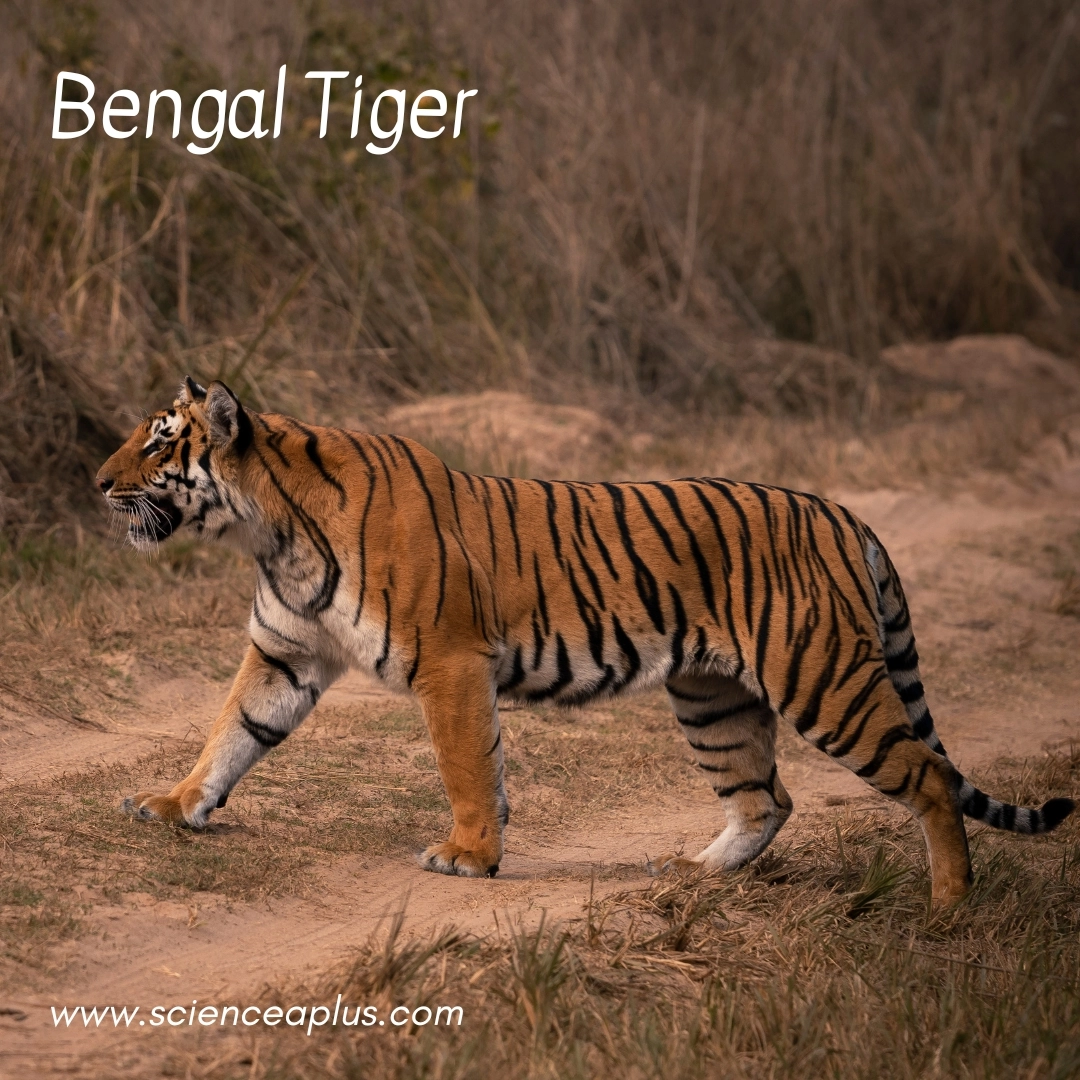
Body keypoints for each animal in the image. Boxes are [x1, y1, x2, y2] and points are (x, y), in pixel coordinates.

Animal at [95, 377, 1074, 905]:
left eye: (158, 444)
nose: (97, 482)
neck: (269, 529)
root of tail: (846, 514)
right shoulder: (286, 652)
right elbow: (231, 734)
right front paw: (175, 805)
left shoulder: (449, 660)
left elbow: (466, 764)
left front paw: (468, 857)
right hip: (713, 698)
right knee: (766, 798)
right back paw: (692, 874)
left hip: (824, 680)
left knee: (929, 776)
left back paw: (948, 907)